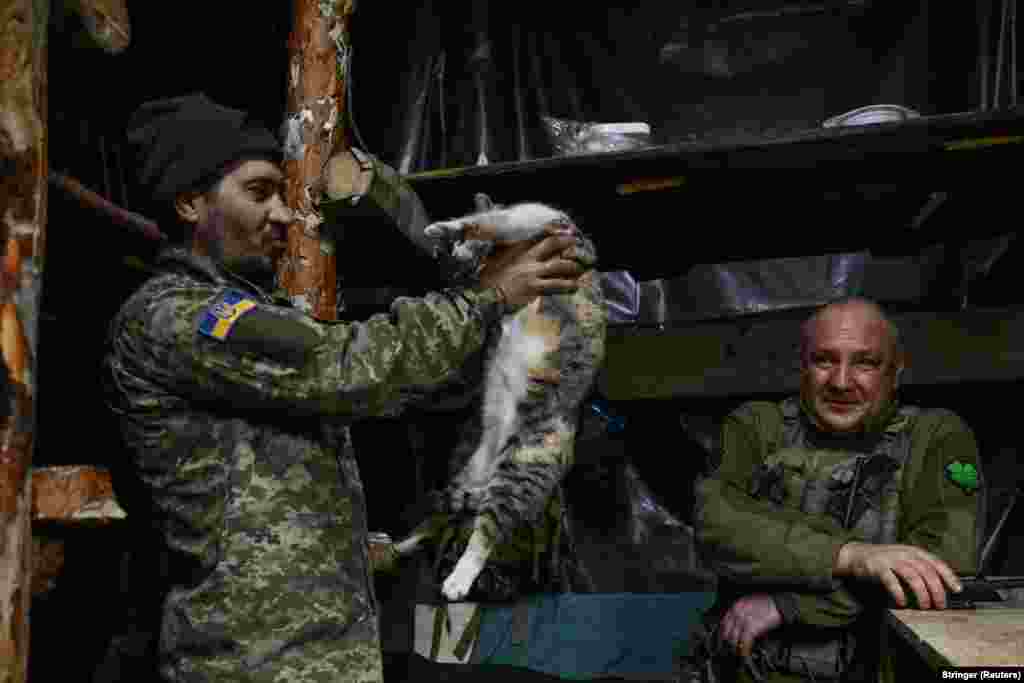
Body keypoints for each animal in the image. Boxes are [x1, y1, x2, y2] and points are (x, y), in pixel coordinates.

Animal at [387, 191, 602, 598]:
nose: (456, 262)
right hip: (461, 474)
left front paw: (449, 227)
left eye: (458, 255)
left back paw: (457, 579)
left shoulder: (543, 221)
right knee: (442, 519)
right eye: (451, 268)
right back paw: (400, 545)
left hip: (520, 471)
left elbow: (492, 220)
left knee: (485, 533)